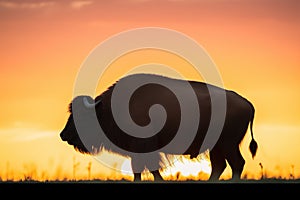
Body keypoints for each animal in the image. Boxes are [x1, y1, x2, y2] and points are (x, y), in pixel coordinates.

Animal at [59, 73, 258, 181]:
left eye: (81, 116)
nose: (63, 135)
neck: (107, 108)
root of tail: (246, 103)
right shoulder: (138, 150)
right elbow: (141, 168)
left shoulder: (144, 147)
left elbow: (148, 167)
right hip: (217, 147)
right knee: (220, 166)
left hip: (227, 145)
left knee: (236, 164)